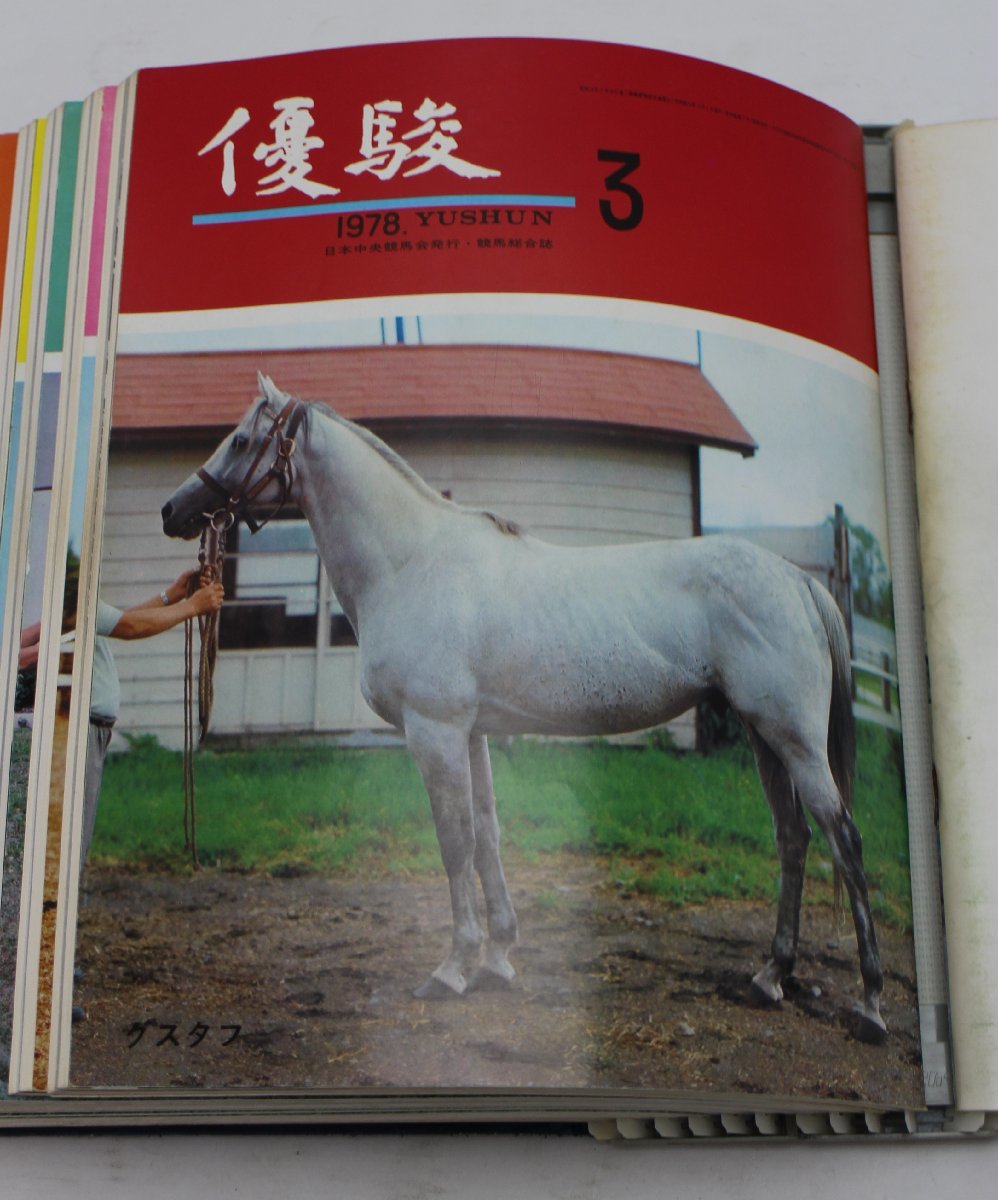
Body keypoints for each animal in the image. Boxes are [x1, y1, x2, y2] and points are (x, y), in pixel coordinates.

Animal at [160, 373, 886, 1043]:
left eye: (242, 440)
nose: (174, 510)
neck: (413, 564)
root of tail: (795, 579)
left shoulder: (435, 733)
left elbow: (454, 842)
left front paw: (452, 968)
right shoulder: (472, 733)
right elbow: (487, 836)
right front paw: (498, 959)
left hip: (793, 739)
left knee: (843, 839)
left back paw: (871, 1005)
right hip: (765, 737)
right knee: (793, 838)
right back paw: (771, 976)